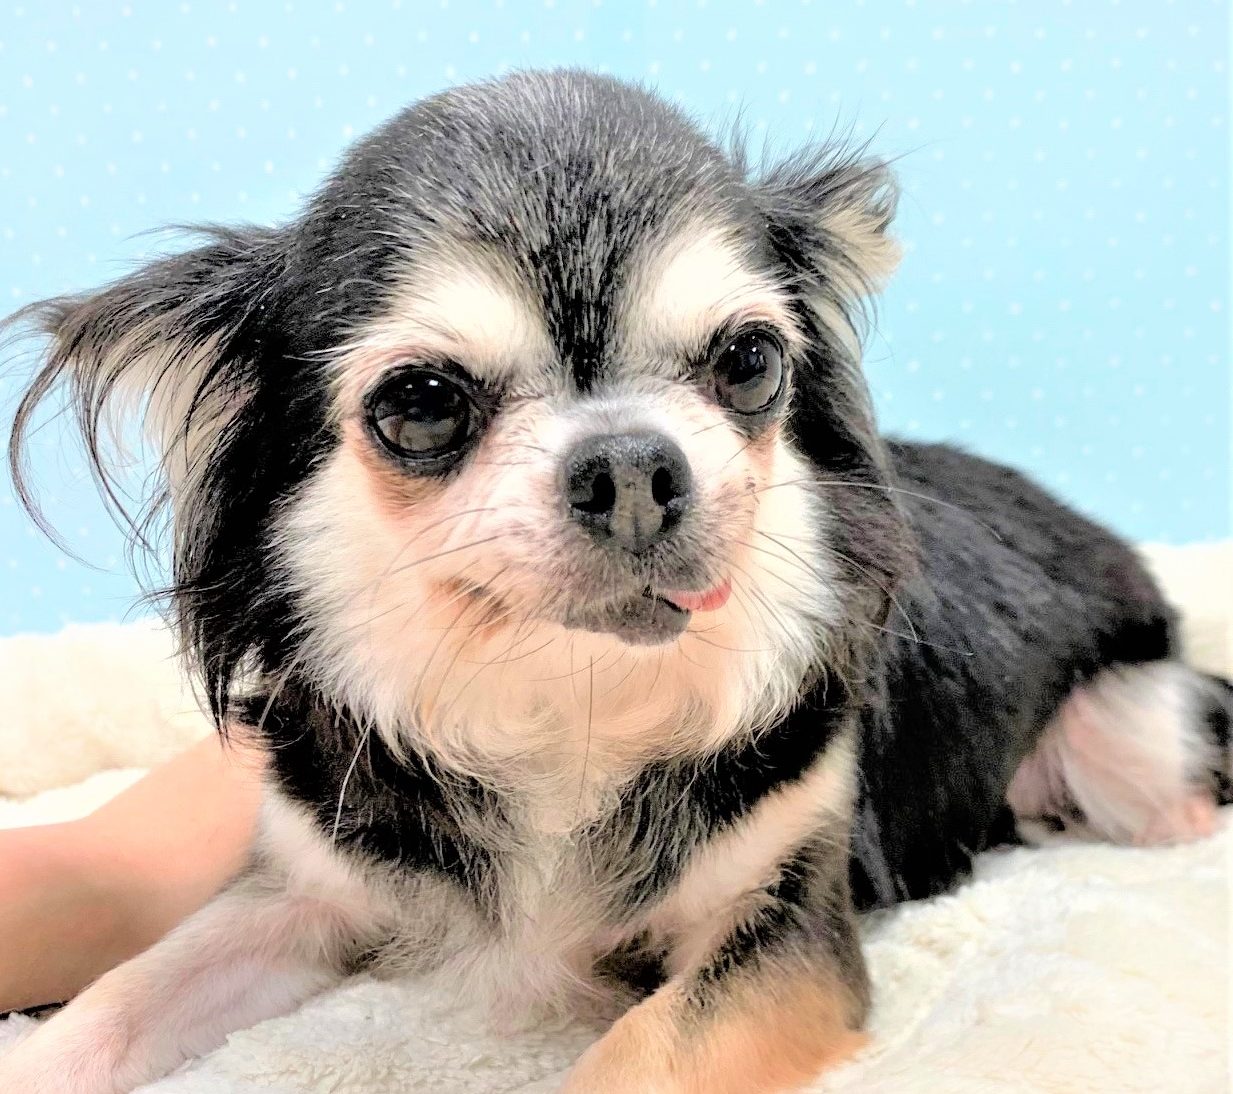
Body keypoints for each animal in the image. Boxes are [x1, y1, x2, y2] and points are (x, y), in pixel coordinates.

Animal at [2, 69, 1229, 1093]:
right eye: (421, 402)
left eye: (749, 361)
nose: (633, 465)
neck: (572, 703)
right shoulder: (305, 890)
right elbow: (118, 996)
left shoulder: (784, 928)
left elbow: (644, 1050)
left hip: (1129, 724)